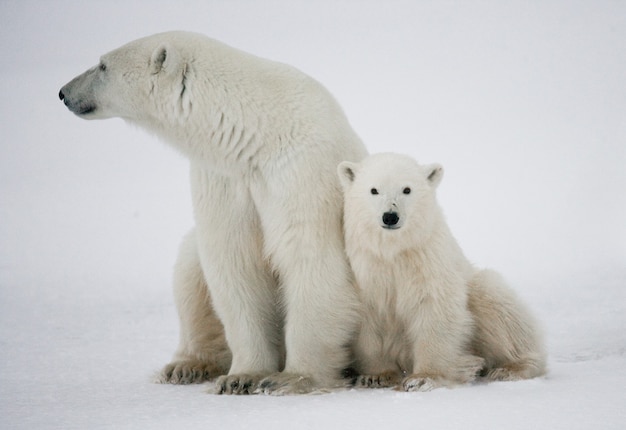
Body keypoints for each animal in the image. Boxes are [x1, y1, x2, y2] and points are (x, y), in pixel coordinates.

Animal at [58, 30, 366, 394]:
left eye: (102, 65)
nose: (63, 93)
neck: (257, 133)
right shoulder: (223, 178)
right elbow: (234, 265)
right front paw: (241, 377)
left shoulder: (301, 172)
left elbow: (310, 260)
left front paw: (289, 378)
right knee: (190, 273)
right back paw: (186, 365)